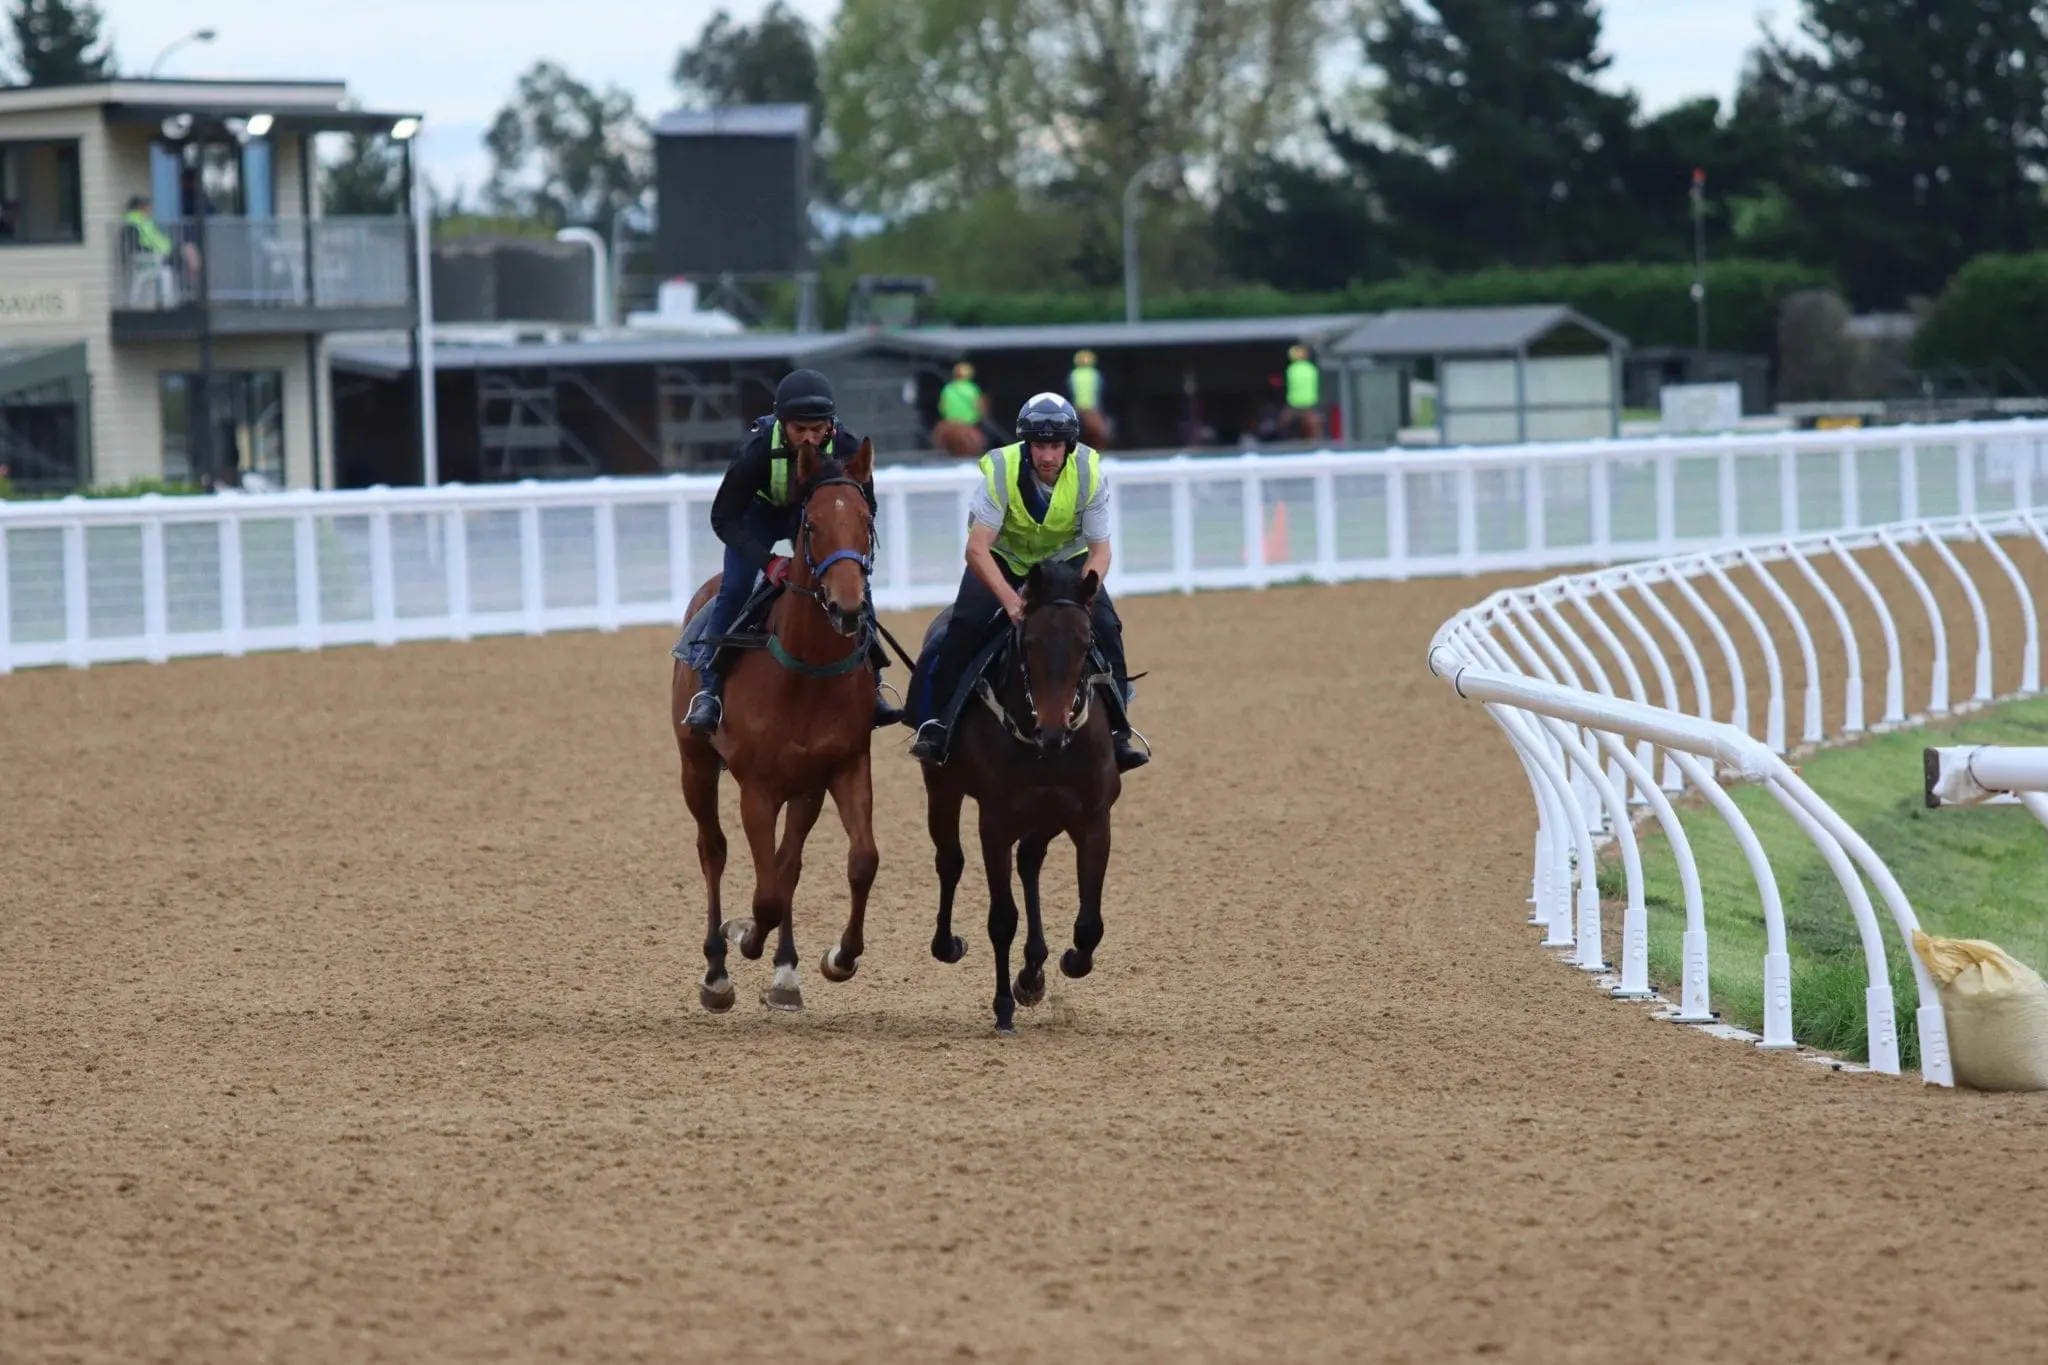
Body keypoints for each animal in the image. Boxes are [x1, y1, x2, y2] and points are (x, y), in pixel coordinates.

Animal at [675, 437, 884, 1015]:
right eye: (811, 524)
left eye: (866, 519)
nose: (847, 606)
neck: (806, 670)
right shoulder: (757, 786)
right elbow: (764, 896)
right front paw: (741, 933)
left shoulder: (844, 766)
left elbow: (861, 861)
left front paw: (838, 957)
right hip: (695, 763)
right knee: (713, 849)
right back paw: (717, 971)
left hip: (805, 787)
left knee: (788, 864)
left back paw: (785, 972)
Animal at [921, 560, 1130, 1031]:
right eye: (1029, 641)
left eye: (1087, 642)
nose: (1051, 730)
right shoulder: (994, 824)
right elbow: (1002, 918)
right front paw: (1003, 1008)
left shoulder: (1093, 818)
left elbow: (1090, 924)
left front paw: (1065, 962)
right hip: (941, 789)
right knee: (950, 861)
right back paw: (949, 945)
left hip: (1048, 814)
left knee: (1029, 861)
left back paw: (1033, 970)